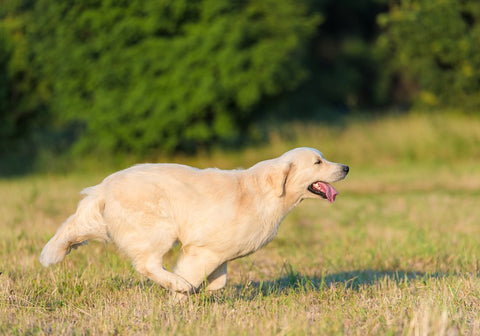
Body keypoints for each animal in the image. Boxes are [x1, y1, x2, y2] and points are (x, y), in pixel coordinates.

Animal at [40, 148, 348, 292]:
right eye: (318, 162)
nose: (346, 167)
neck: (270, 193)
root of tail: (103, 187)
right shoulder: (202, 250)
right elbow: (191, 274)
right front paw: (179, 298)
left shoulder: (220, 252)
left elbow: (218, 283)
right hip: (159, 229)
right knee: (146, 264)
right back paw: (177, 284)